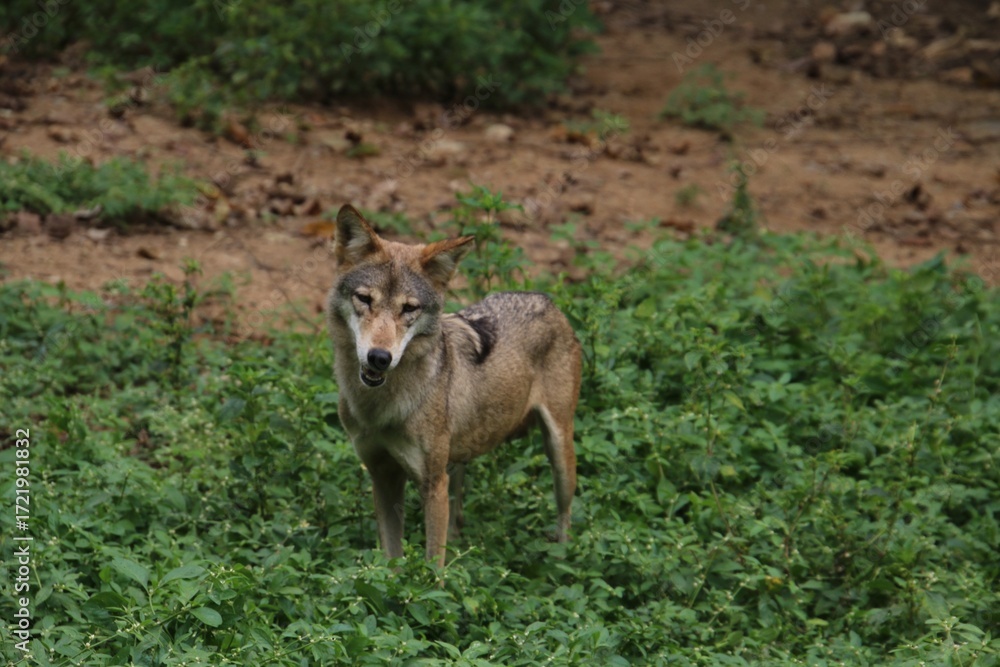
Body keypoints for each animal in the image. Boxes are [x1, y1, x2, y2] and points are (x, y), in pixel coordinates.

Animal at [326, 204, 582, 567]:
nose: (379, 357)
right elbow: (392, 561)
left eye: (409, 308)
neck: (381, 407)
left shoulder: (433, 484)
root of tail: (546, 299)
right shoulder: (382, 476)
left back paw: (562, 560)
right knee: (458, 505)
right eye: (364, 299)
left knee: (565, 517)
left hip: (559, 452)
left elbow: (433, 567)